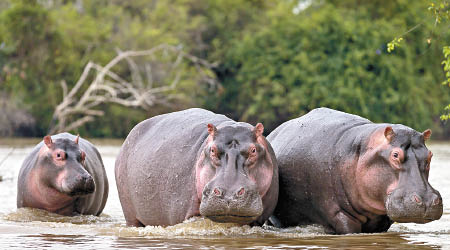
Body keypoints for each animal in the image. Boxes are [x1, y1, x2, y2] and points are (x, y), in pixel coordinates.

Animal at [268, 108, 442, 234]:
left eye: (430, 155)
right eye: (395, 155)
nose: (427, 201)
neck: (362, 150)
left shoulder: (383, 220)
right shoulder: (339, 214)